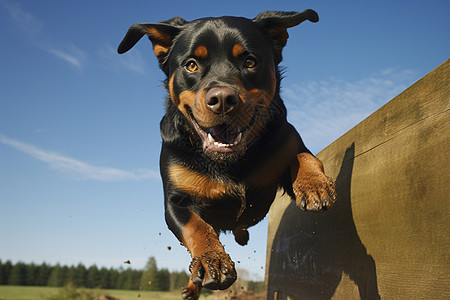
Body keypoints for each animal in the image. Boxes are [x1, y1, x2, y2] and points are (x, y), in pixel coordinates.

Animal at [118, 9, 336, 300]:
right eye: (191, 65)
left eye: (250, 61)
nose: (222, 99)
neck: (229, 162)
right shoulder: (175, 201)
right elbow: (196, 228)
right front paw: (213, 261)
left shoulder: (287, 143)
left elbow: (304, 157)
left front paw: (314, 185)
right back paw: (193, 283)